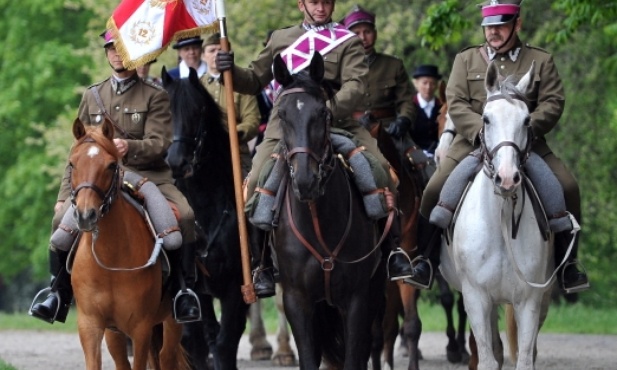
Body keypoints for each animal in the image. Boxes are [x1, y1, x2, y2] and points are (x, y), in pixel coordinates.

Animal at [69, 118, 186, 370]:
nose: (85, 216)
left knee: (166, 356)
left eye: (111, 165)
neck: (110, 260)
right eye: (72, 164)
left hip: (171, 322)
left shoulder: (140, 328)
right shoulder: (92, 326)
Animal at [164, 67, 250, 370]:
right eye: (166, 111)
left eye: (198, 110)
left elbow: (224, 344)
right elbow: (201, 343)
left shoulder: (236, 288)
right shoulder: (195, 288)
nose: (177, 161)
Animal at [270, 52, 382, 370]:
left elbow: (355, 357)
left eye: (323, 113)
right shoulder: (298, 300)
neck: (317, 221)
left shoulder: (357, 299)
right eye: (282, 115)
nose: (305, 180)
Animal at [438, 61, 560, 370]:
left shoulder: (530, 300)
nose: (507, 178)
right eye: (486, 119)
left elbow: (525, 358)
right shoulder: (476, 298)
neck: (501, 219)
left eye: (527, 120)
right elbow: (488, 358)